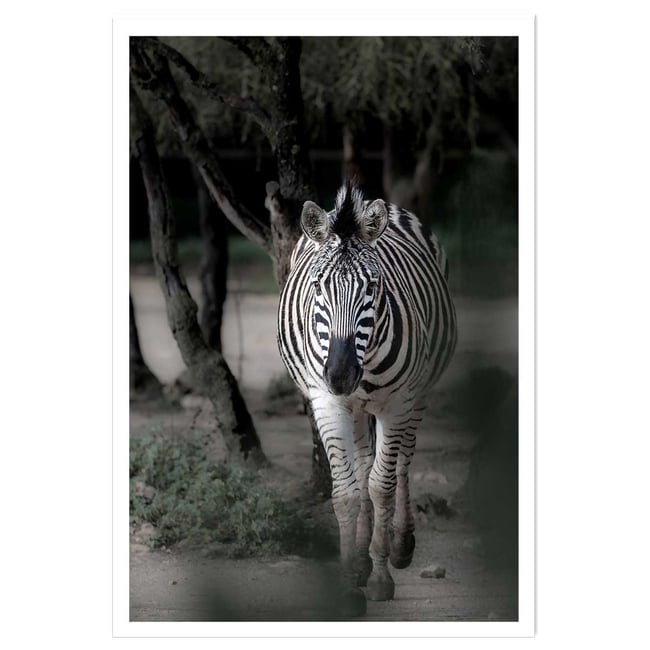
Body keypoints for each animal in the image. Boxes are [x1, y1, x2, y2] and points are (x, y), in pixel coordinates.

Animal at [277, 183, 457, 616]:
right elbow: (346, 493)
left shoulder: (397, 404)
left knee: (403, 461)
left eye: (372, 288)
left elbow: (382, 486)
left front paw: (379, 577)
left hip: (417, 395)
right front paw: (348, 583)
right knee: (361, 465)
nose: (341, 375)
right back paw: (359, 559)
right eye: (318, 286)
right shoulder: (327, 402)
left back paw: (400, 546)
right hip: (355, 409)